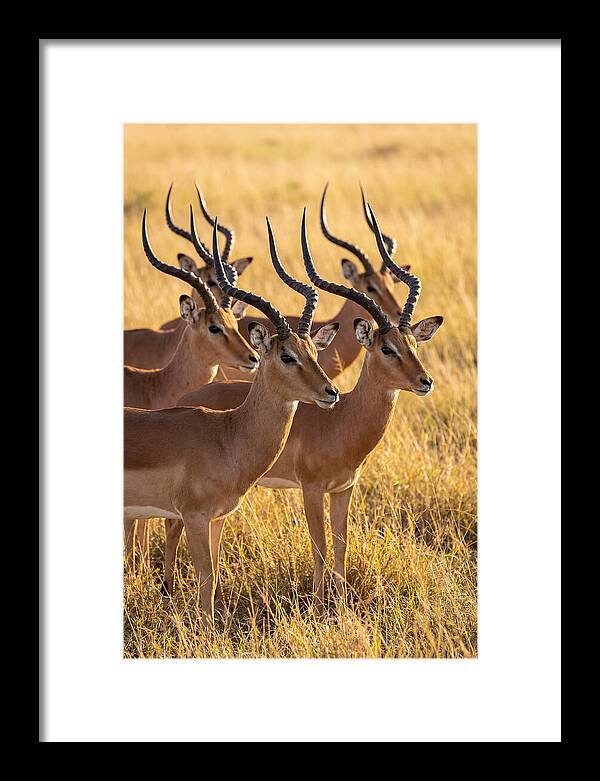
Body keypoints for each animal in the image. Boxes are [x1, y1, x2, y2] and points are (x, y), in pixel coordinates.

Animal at [124, 211, 341, 626]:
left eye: (313, 351)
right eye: (286, 355)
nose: (331, 393)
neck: (227, 436)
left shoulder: (218, 517)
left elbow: (214, 574)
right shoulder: (193, 516)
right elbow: (206, 578)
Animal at [172, 204, 443, 613]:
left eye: (413, 343)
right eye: (386, 348)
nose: (424, 381)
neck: (343, 420)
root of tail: (187, 400)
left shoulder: (344, 489)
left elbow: (342, 547)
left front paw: (342, 607)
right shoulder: (312, 489)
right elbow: (320, 548)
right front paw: (318, 608)